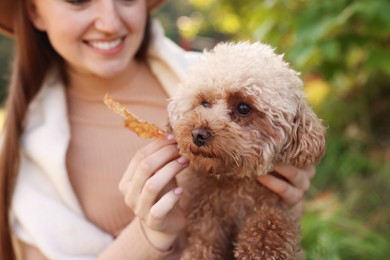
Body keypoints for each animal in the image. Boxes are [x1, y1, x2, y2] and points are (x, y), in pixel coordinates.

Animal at [168, 41, 326, 258]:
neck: (237, 182)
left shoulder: (278, 205)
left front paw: (261, 249)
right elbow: (202, 243)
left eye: (244, 108)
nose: (198, 134)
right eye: (204, 103)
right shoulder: (206, 214)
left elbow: (270, 220)